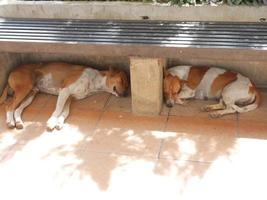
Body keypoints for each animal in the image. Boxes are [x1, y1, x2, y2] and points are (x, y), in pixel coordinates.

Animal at [0, 62, 130, 131]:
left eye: (128, 85)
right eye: (122, 80)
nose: (126, 94)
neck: (94, 82)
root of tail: (13, 70)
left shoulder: (70, 97)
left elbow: (65, 112)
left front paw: (59, 123)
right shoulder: (65, 90)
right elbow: (58, 110)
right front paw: (51, 122)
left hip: (31, 94)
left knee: (17, 109)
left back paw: (18, 122)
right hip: (25, 88)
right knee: (8, 106)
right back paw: (10, 122)